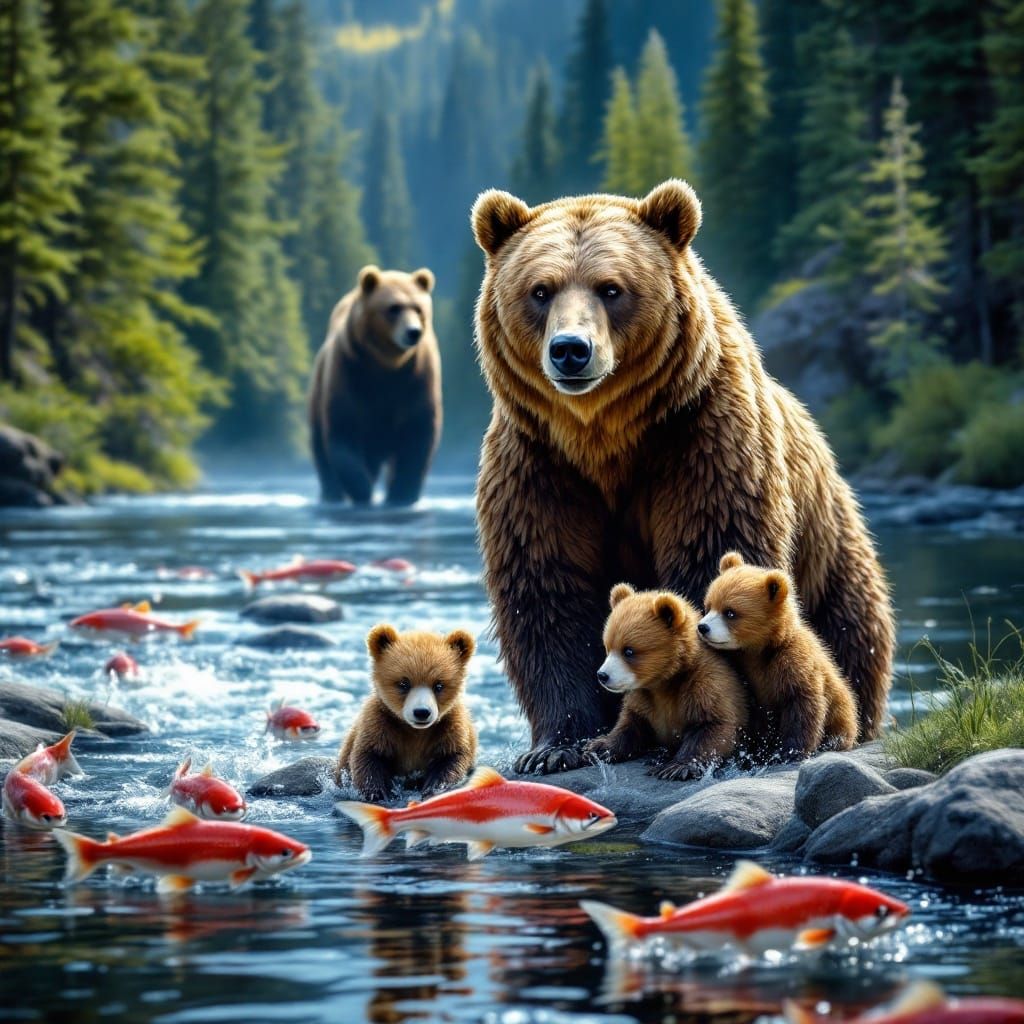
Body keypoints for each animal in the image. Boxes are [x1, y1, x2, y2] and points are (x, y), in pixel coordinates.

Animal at [308, 265, 441, 506]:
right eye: (393, 307)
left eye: (418, 308)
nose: (413, 332)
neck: (387, 364)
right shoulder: (350, 372)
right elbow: (343, 430)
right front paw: (362, 490)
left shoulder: (417, 378)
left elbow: (418, 433)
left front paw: (402, 495)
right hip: (317, 394)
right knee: (321, 450)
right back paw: (332, 494)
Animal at [336, 624, 477, 801]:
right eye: (404, 683)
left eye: (438, 685)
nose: (421, 712)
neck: (415, 732)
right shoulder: (380, 725)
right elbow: (368, 758)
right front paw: (378, 792)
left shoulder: (450, 727)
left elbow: (452, 760)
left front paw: (434, 788)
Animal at [584, 583, 749, 780]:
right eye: (608, 647)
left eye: (628, 651)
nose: (602, 675)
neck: (666, 681)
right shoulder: (644, 697)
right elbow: (631, 723)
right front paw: (597, 746)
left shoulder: (705, 684)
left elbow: (713, 725)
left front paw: (676, 767)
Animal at [699, 552, 859, 760]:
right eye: (708, 605)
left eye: (730, 612)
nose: (702, 627)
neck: (759, 651)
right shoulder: (746, 674)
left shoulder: (792, 663)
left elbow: (802, 703)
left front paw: (790, 750)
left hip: (842, 714)